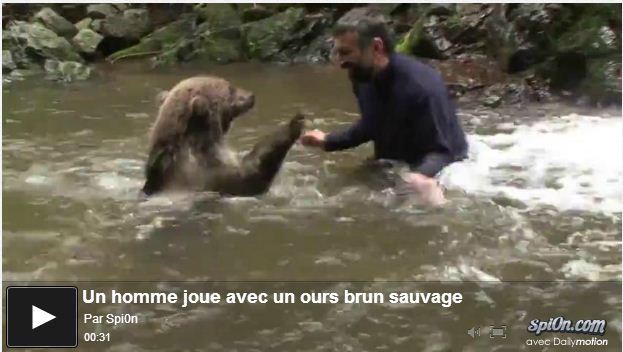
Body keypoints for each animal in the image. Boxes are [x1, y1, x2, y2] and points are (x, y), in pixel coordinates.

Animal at [143, 75, 304, 197]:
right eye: (230, 88)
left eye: (229, 84)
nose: (252, 95)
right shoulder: (207, 176)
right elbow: (251, 173)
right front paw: (295, 122)